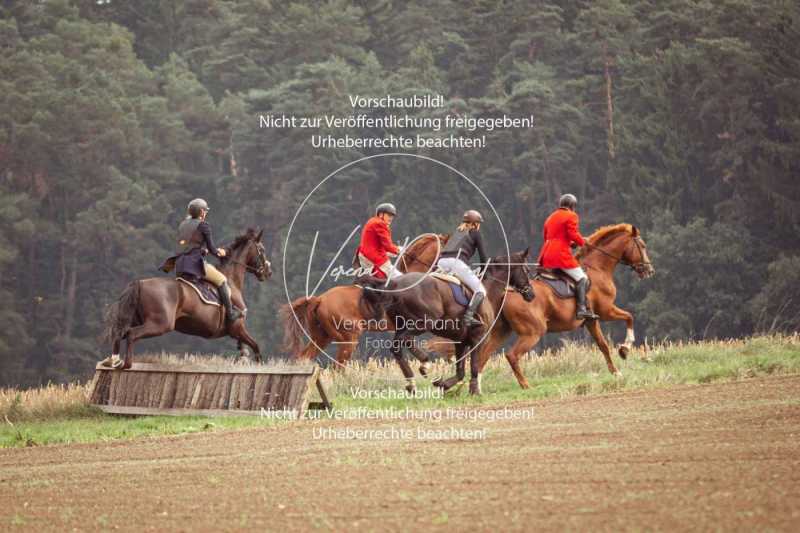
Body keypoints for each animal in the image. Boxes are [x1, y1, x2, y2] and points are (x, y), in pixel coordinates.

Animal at [103, 227, 274, 368]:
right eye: (262, 249)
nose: (268, 272)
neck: (231, 280)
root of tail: (139, 283)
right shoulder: (237, 327)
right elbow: (256, 346)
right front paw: (257, 363)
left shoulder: (237, 330)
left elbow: (246, 345)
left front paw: (243, 354)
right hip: (160, 324)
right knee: (132, 334)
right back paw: (126, 364)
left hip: (136, 319)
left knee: (120, 333)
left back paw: (114, 361)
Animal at [354, 247, 532, 392]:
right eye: (526, 269)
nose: (531, 294)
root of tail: (396, 284)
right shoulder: (478, 338)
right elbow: (474, 367)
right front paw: (474, 391)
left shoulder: (461, 341)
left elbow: (461, 371)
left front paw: (444, 384)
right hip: (423, 322)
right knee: (404, 341)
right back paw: (424, 364)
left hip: (403, 324)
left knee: (397, 347)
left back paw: (412, 382)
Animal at [478, 222, 652, 388]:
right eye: (643, 246)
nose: (650, 270)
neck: (597, 268)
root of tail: (506, 293)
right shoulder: (606, 311)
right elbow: (629, 317)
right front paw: (625, 349)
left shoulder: (591, 320)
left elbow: (603, 345)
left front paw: (616, 372)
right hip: (533, 332)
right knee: (511, 355)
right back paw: (525, 385)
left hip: (502, 331)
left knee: (483, 356)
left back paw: (477, 389)